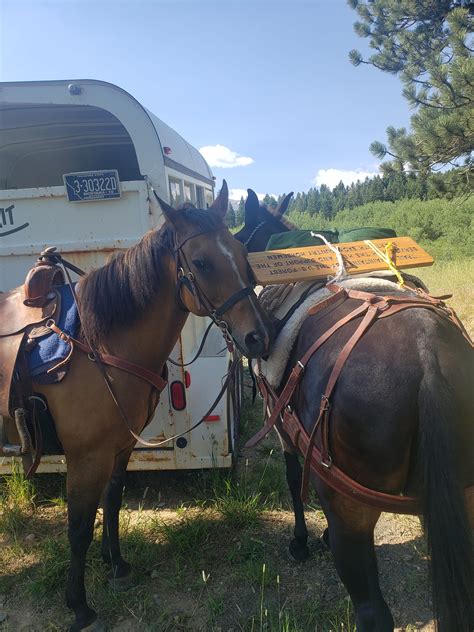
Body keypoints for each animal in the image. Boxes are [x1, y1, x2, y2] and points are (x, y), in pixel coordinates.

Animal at [3, 181, 272, 628]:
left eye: (239, 250)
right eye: (201, 262)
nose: (257, 337)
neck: (98, 345)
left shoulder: (120, 447)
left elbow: (112, 502)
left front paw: (117, 566)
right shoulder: (87, 457)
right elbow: (78, 527)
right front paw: (80, 606)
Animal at [235, 191, 472, 632]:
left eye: (240, 239)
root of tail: (428, 356)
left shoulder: (284, 430)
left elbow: (292, 479)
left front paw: (301, 541)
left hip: (353, 512)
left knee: (373, 613)